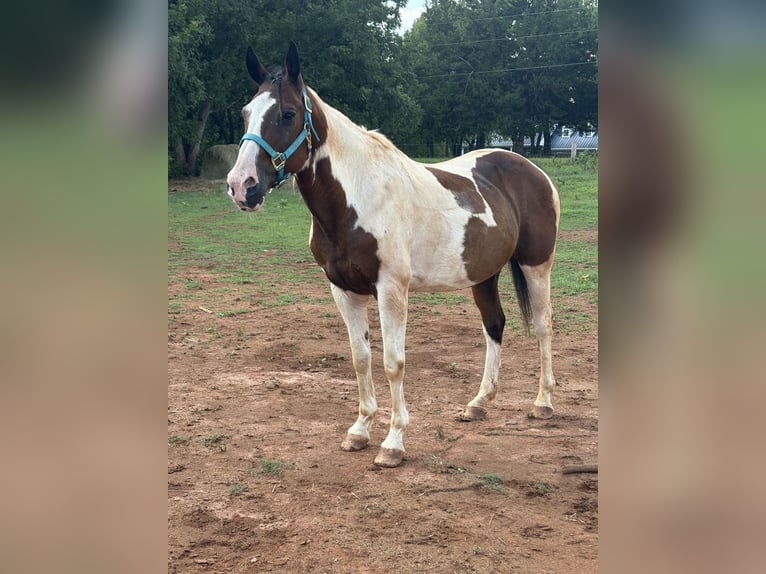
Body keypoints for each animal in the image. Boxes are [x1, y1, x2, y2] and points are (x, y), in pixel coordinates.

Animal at [226, 42, 560, 468]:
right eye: (245, 113)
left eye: (287, 114)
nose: (242, 186)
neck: (357, 198)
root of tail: (532, 169)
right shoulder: (343, 291)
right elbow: (361, 359)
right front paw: (359, 431)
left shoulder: (391, 289)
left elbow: (392, 362)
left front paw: (393, 443)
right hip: (483, 274)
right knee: (494, 325)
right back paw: (478, 403)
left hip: (537, 265)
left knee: (543, 326)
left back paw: (543, 403)